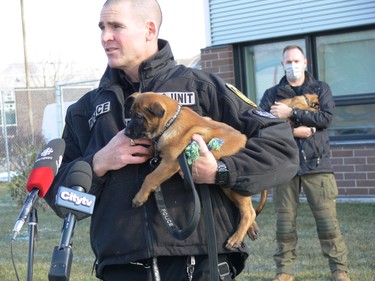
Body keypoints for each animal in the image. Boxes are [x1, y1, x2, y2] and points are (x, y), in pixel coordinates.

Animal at [125, 91, 268, 247]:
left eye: (139, 117)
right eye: (130, 114)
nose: (126, 133)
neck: (170, 122)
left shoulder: (170, 163)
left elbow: (150, 178)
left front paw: (139, 197)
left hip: (234, 189)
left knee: (249, 212)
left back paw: (236, 238)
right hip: (228, 188)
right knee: (244, 208)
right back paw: (251, 228)